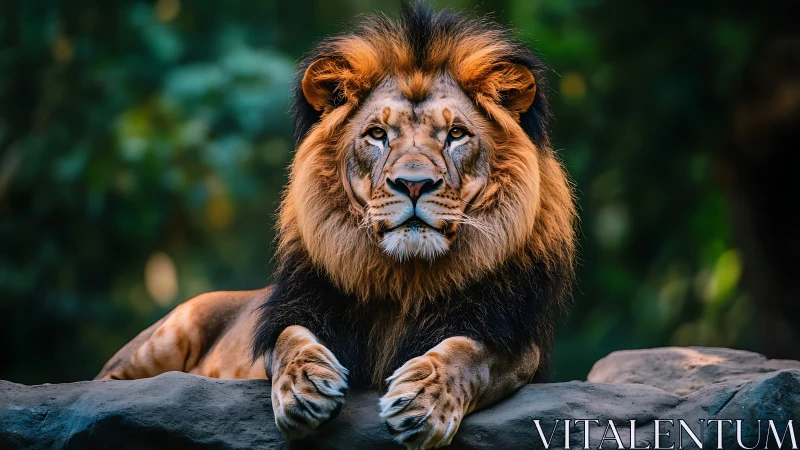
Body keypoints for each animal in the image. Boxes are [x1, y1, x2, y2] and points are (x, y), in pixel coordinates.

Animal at [96, 2, 576, 448]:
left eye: (456, 135)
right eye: (378, 135)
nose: (414, 184)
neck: (407, 279)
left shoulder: (514, 341)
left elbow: (470, 354)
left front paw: (421, 399)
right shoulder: (297, 314)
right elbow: (290, 340)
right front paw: (305, 388)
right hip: (172, 330)